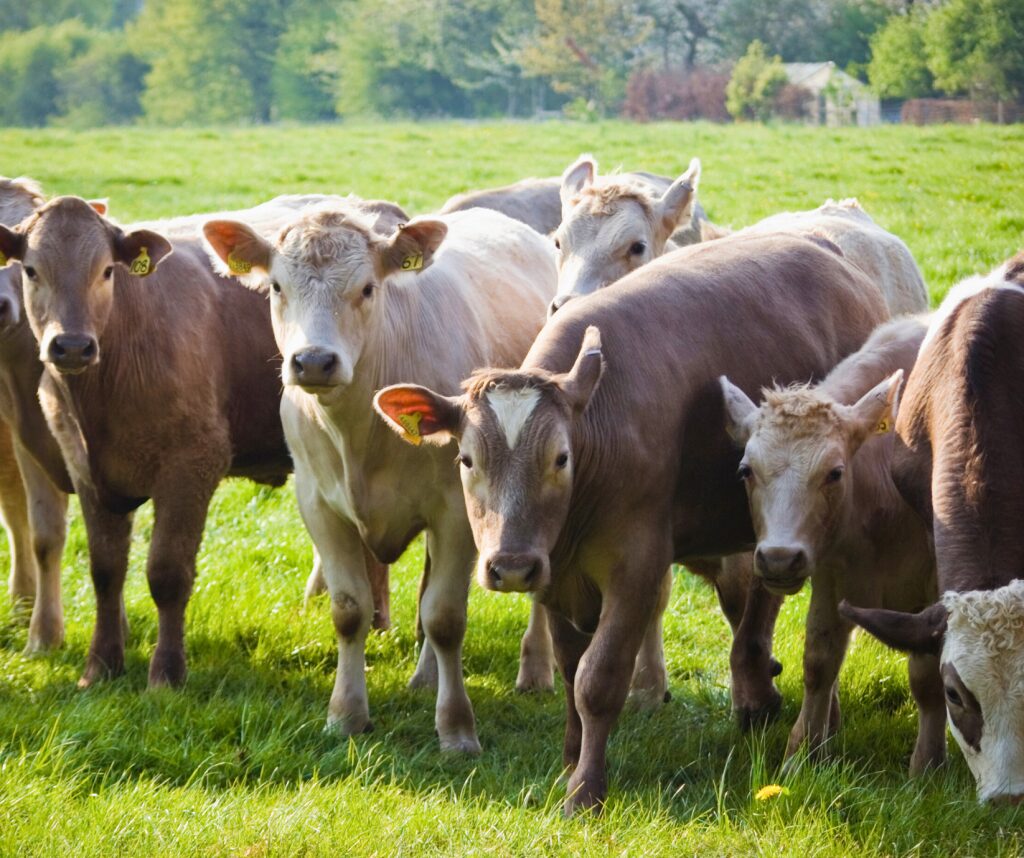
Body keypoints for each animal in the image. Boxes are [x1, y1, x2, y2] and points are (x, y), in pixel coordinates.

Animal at [202, 203, 561, 753]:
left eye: (368, 288)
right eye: (278, 286)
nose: (314, 361)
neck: (359, 429)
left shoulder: (456, 511)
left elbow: (445, 617)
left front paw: (456, 728)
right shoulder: (318, 505)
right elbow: (351, 610)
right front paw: (346, 714)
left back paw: (535, 670)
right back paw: (425, 677)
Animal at [374, 232, 888, 811]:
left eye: (561, 458)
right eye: (466, 460)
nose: (510, 566)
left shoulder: (637, 567)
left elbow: (598, 679)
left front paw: (586, 790)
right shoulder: (555, 571)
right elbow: (570, 667)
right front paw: (570, 763)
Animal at [720, 316, 945, 774]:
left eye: (835, 473)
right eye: (745, 470)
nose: (779, 558)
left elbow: (927, 674)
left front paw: (927, 765)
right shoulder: (830, 574)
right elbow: (818, 661)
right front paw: (800, 755)